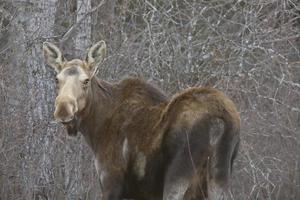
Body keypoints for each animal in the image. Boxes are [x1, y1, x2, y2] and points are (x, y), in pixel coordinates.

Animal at [42, 41, 239, 200]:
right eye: (57, 79)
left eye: (86, 80)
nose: (63, 109)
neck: (95, 128)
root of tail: (219, 121)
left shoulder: (111, 181)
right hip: (219, 176)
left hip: (179, 176)